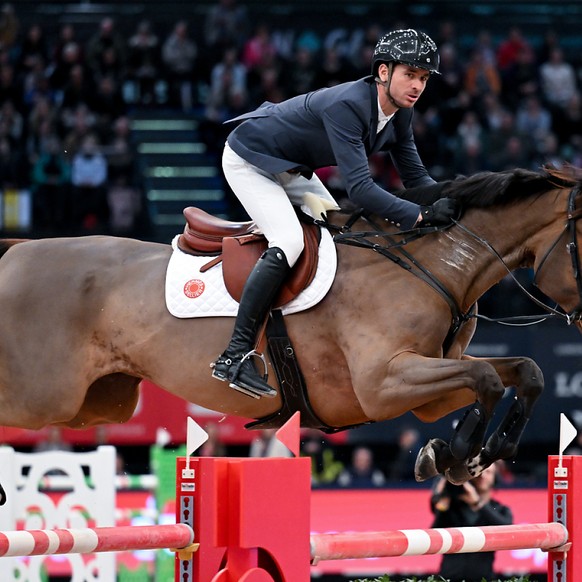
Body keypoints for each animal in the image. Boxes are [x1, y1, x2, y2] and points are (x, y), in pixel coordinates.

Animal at [1, 164, 582, 502]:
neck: (431, 264)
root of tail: (17, 250)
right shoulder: (384, 384)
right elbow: (487, 378)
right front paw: (458, 454)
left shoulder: (427, 391)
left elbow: (519, 372)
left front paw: (471, 453)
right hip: (44, 395)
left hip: (99, 403)